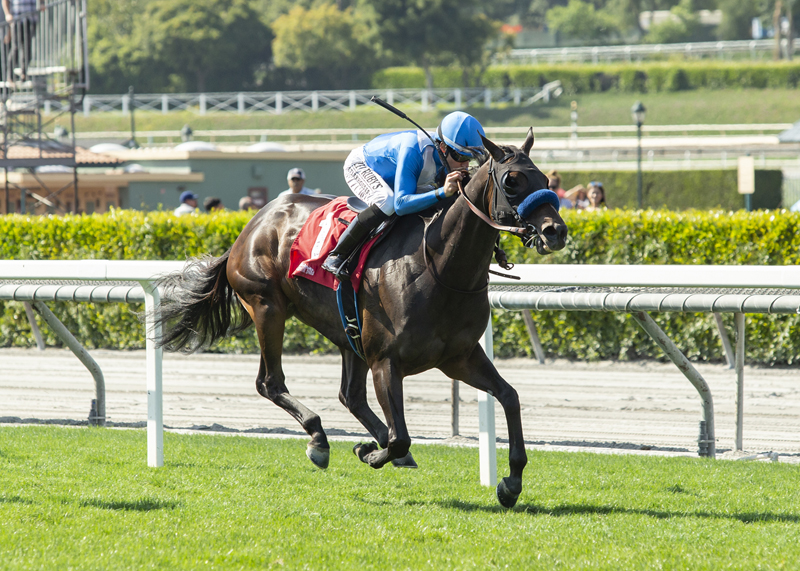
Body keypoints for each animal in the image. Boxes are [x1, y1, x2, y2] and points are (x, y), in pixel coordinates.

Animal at [156, 132, 568, 508]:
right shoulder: (387, 360)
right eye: (512, 181)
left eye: (546, 180)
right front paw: (371, 452)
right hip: (267, 307)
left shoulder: (459, 357)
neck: (441, 267)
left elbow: (510, 397)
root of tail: (254, 223)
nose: (556, 231)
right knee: (270, 382)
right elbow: (401, 435)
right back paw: (319, 439)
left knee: (349, 395)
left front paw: (510, 483)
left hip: (346, 331)